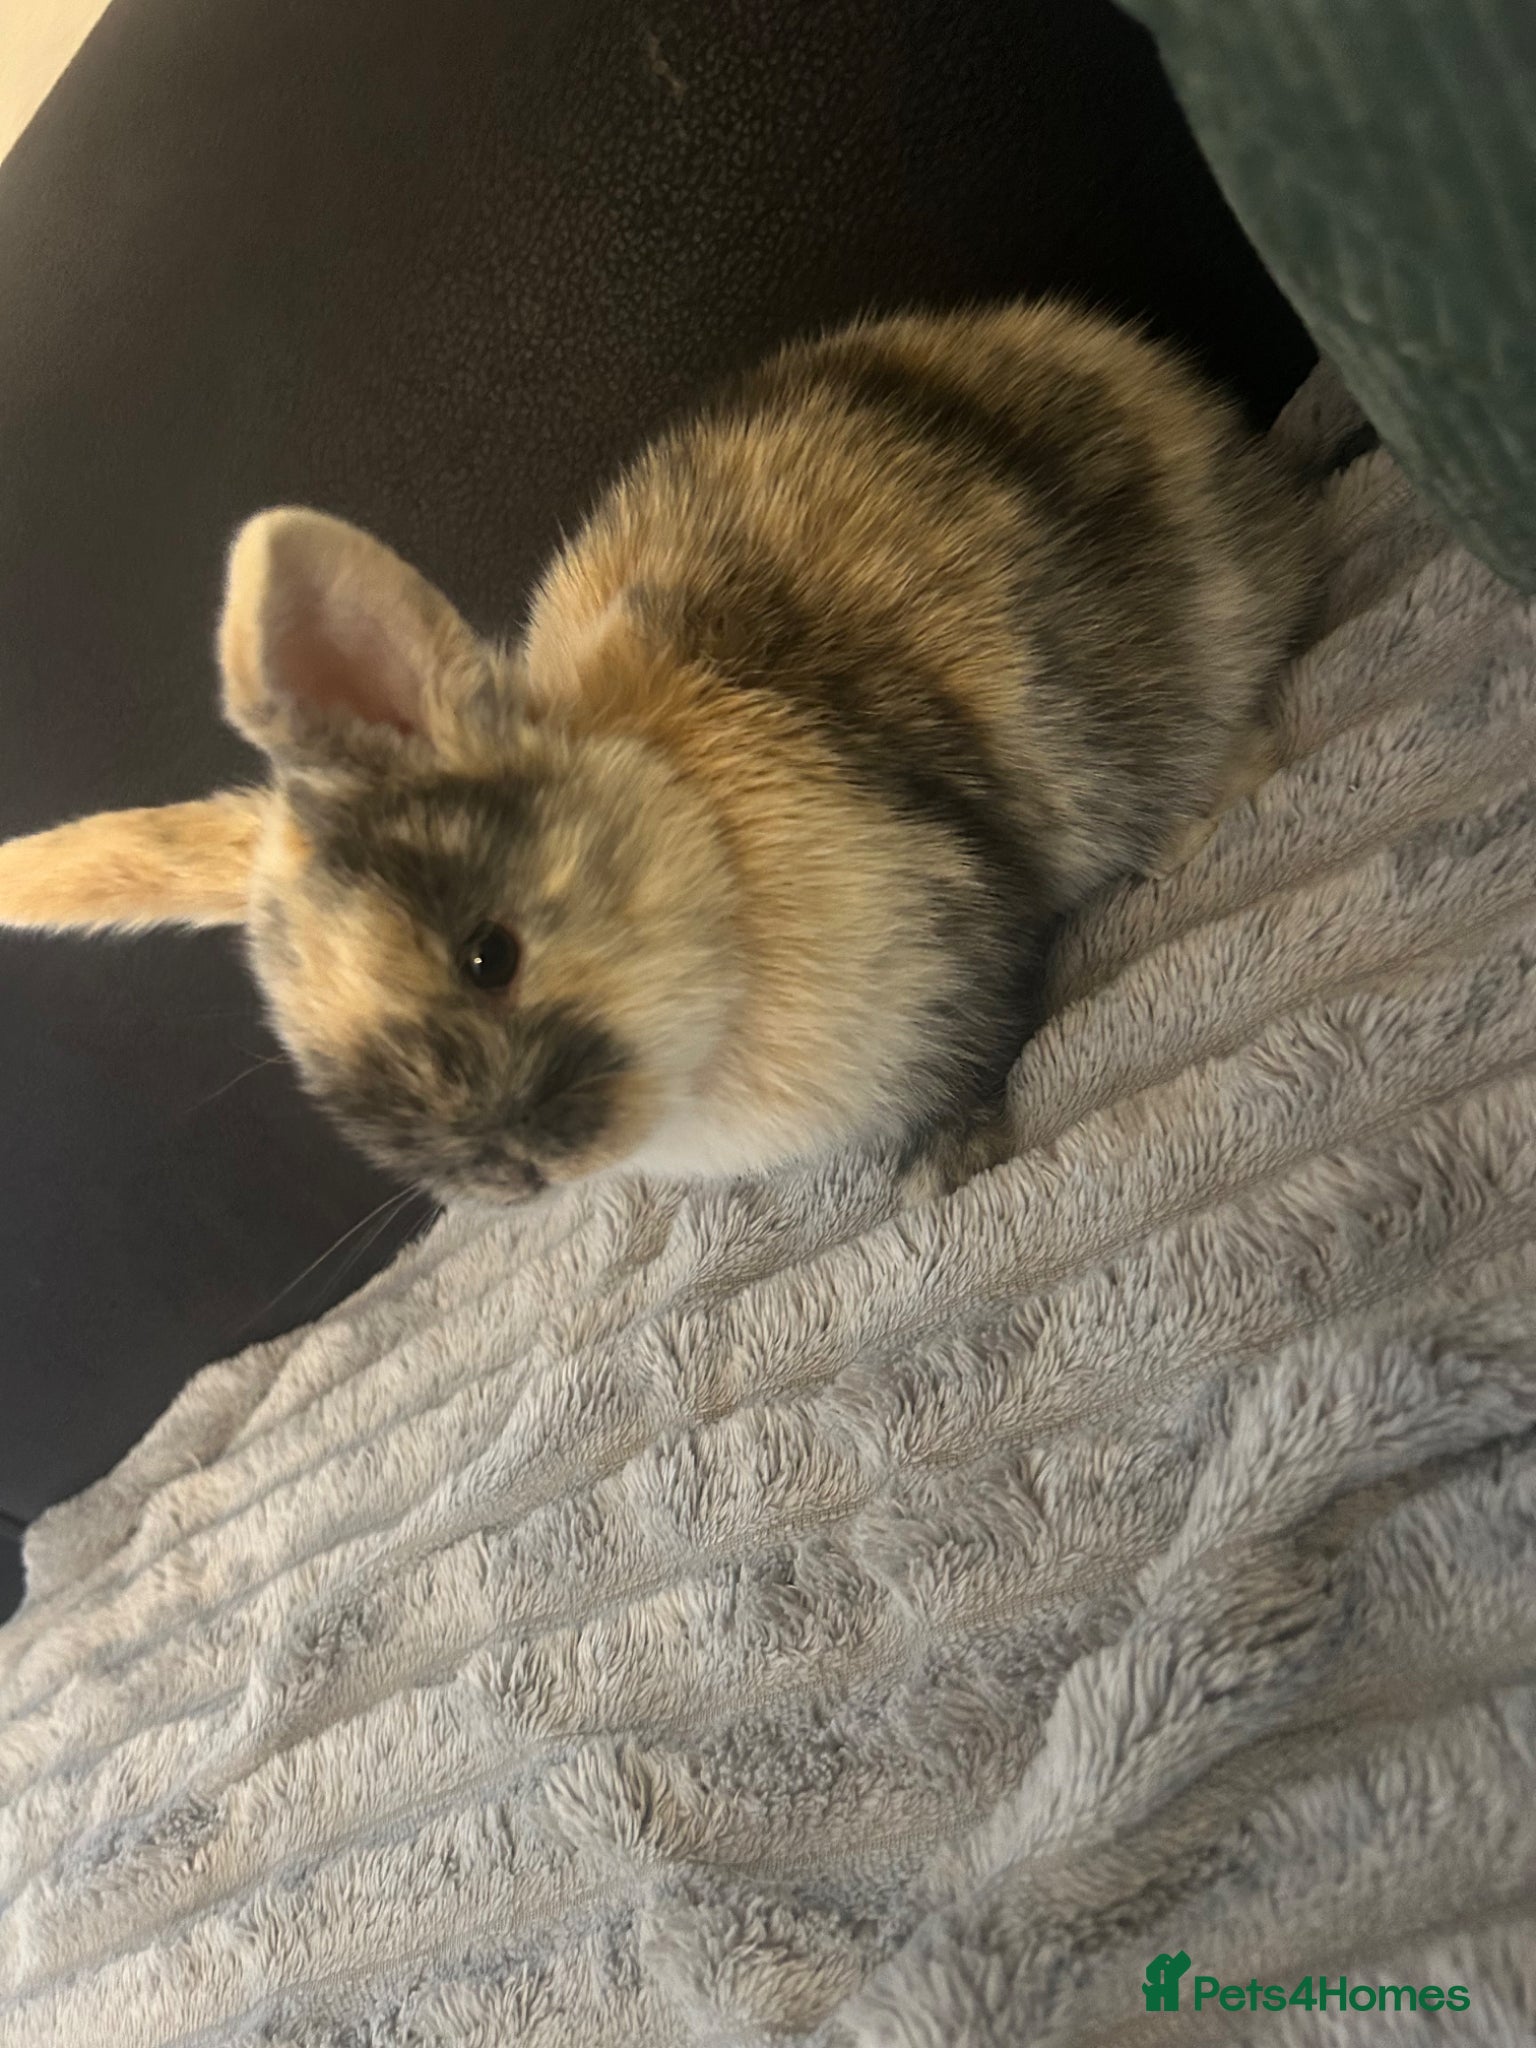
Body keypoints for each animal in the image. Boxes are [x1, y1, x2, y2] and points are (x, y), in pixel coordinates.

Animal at [0, 299, 1318, 1206]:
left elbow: (978, 1042)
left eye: (490, 954)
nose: (509, 1176)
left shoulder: (947, 926)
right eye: (311, 1062)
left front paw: (949, 1166)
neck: (697, 828)